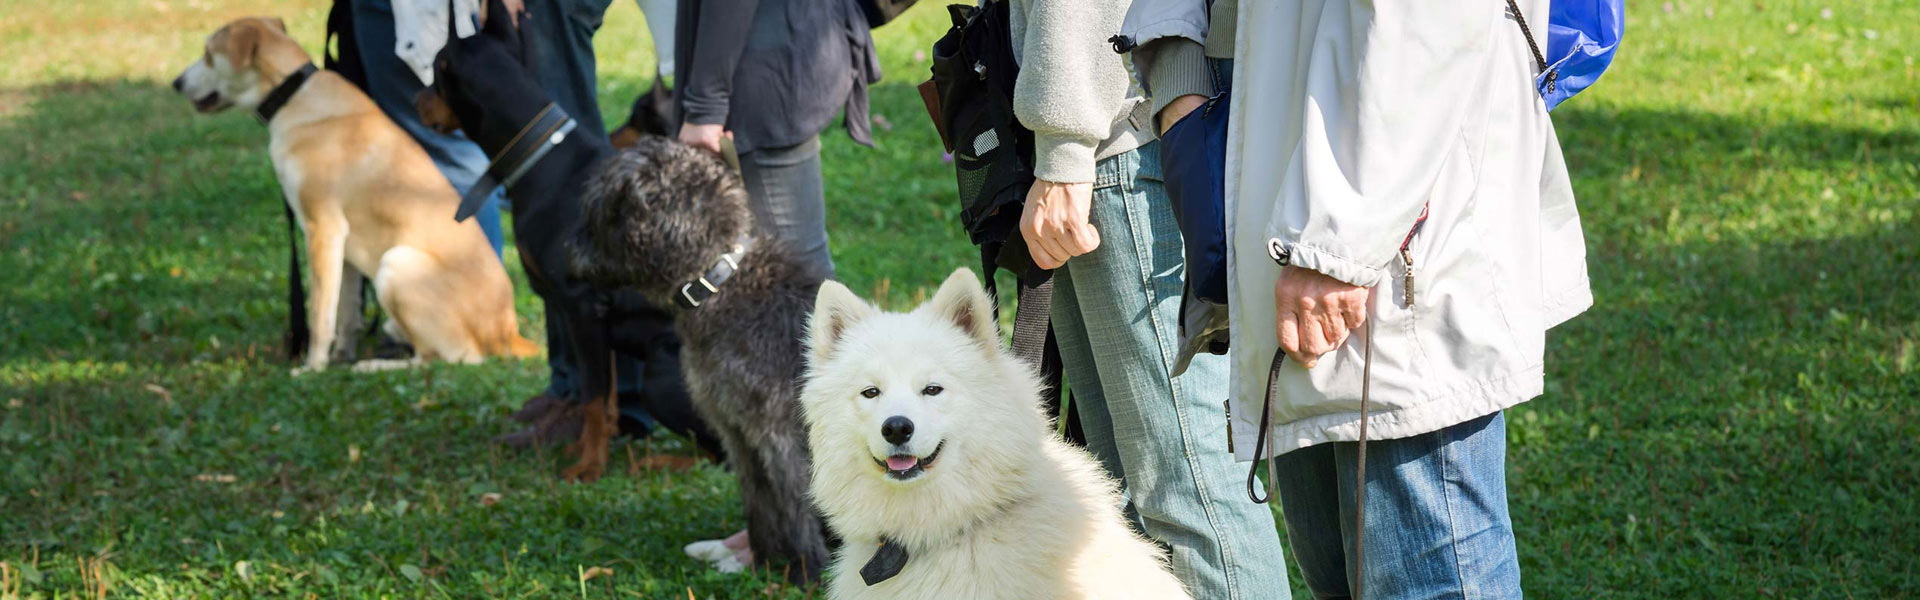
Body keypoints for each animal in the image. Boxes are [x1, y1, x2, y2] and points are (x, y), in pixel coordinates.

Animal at [173, 16, 537, 373]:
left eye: (209, 53)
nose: (176, 82)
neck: (292, 97)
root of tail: (509, 332)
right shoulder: (345, 246)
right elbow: (346, 312)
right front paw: (338, 358)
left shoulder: (323, 229)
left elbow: (320, 313)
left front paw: (313, 368)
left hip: (396, 262)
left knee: (450, 358)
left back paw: (374, 365)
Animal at [572, 138, 837, 584]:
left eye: (602, 211)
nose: (568, 254)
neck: (720, 285)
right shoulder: (738, 434)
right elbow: (760, 502)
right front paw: (764, 561)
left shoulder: (782, 438)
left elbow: (799, 506)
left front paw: (806, 573)